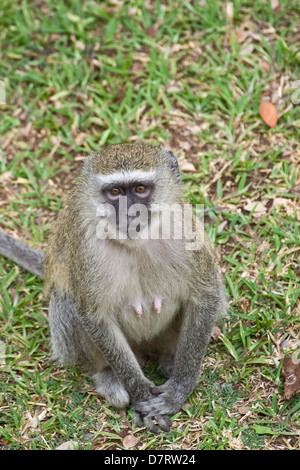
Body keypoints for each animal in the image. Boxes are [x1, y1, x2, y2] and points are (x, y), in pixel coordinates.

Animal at [0, 144, 226, 434]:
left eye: (140, 189)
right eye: (115, 192)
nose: (130, 214)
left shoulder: (186, 233)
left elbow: (205, 296)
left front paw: (179, 389)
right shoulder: (86, 249)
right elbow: (94, 316)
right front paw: (139, 392)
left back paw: (169, 359)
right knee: (66, 301)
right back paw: (107, 375)